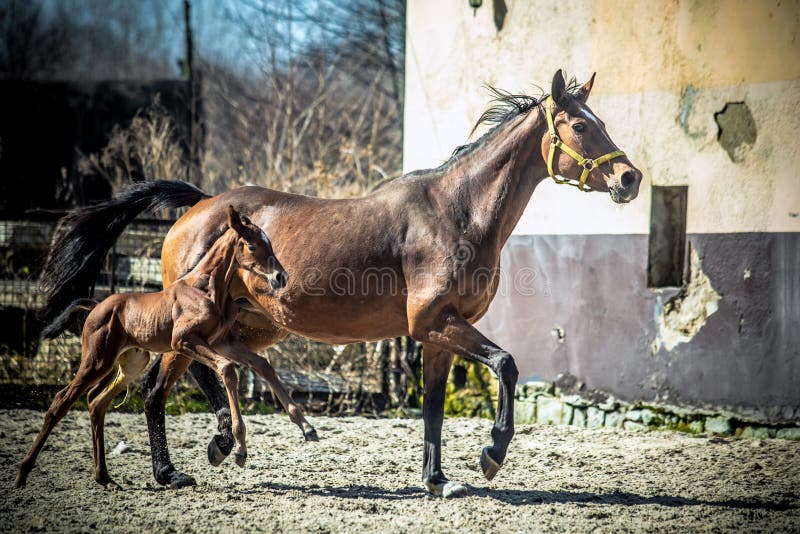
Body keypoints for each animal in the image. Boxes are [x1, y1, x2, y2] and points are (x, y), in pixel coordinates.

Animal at [16, 208, 316, 490]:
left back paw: (104, 478)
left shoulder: (222, 341)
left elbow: (262, 365)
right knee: (62, 401)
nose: (281, 276)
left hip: (130, 363)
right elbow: (229, 370)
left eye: (270, 242)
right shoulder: (183, 341)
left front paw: (307, 427)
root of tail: (95, 306)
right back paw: (23, 474)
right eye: (253, 246)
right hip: (97, 360)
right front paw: (240, 450)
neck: (206, 288)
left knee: (96, 402)